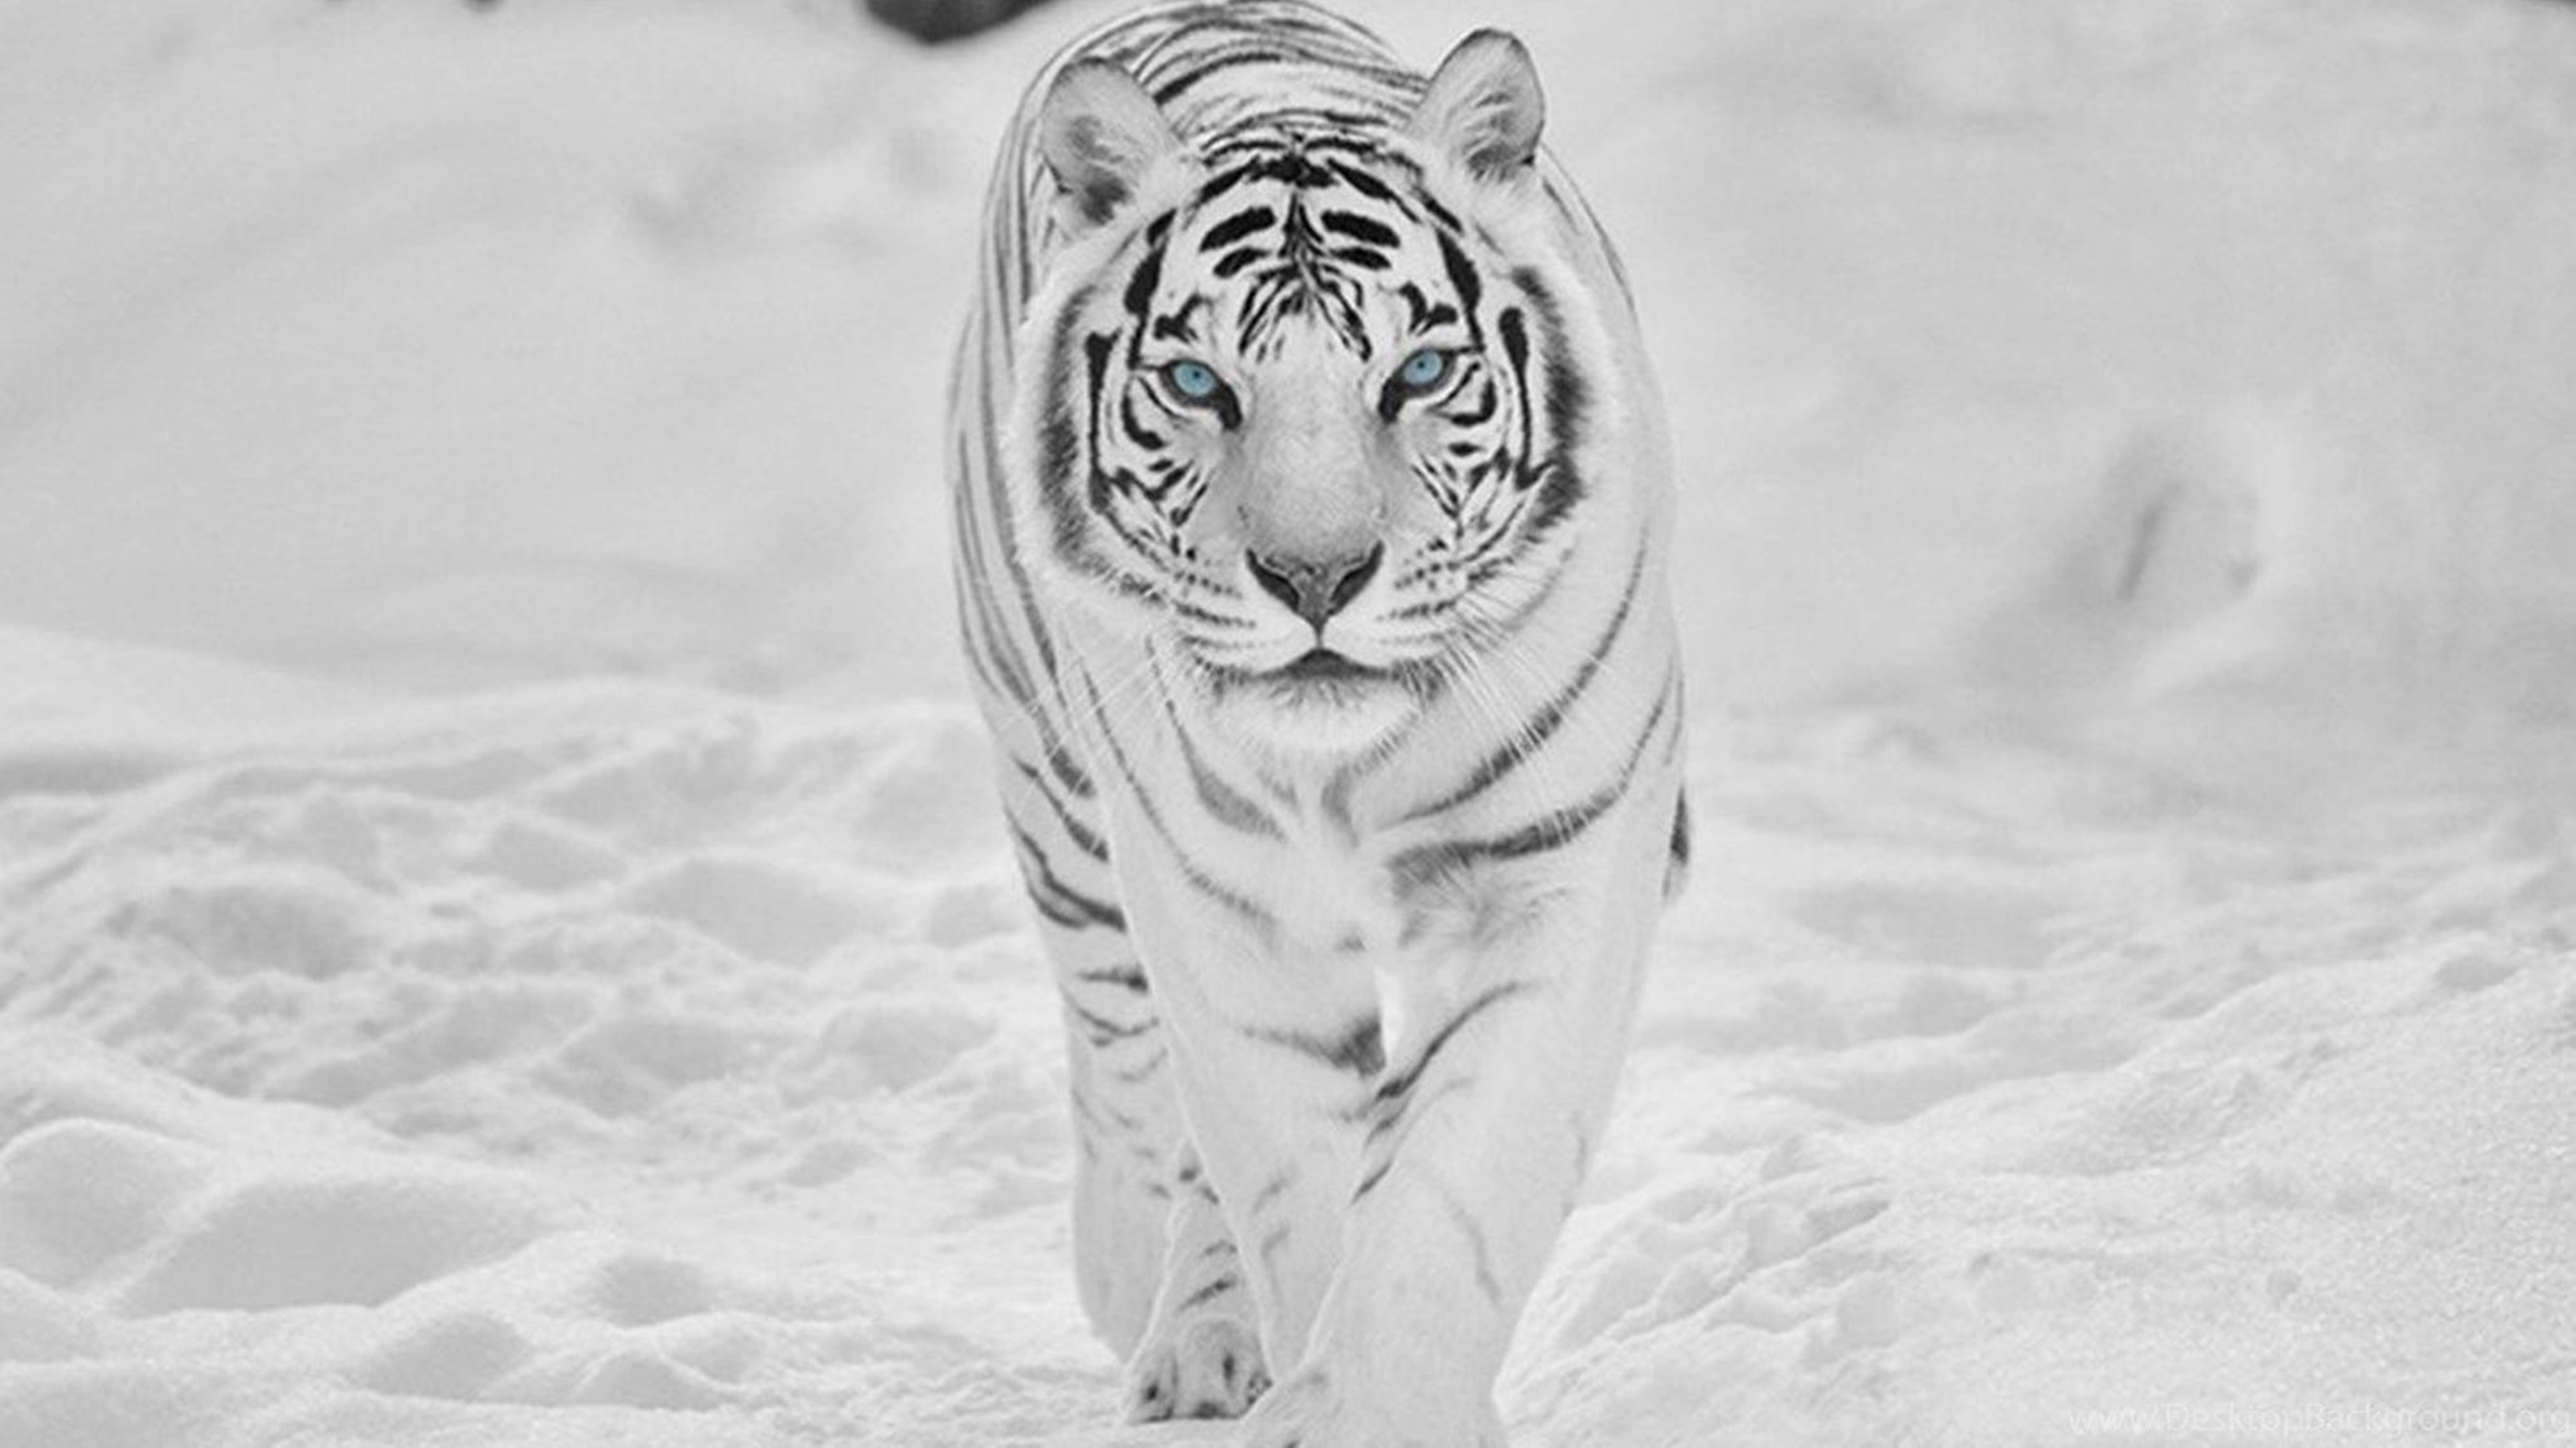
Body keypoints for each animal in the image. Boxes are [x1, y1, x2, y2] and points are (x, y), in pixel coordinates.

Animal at [944, 2, 1685, 1442]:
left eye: (1422, 372)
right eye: (1195, 383)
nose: (1317, 577)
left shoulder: (1548, 880)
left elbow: (1444, 1201)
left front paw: (1385, 1399)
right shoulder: (1226, 915)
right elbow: (1289, 1176)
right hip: (1056, 795)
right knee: (1125, 1062)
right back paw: (1160, 1311)